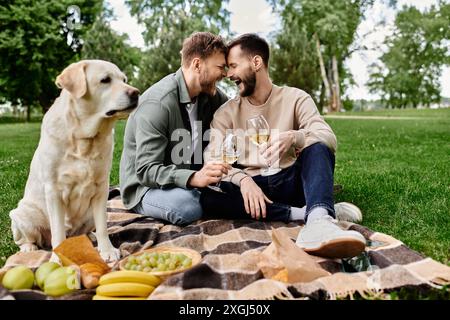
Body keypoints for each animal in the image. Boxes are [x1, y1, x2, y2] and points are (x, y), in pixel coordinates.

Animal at [9, 60, 139, 262]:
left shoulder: (102, 187)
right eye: (105, 80)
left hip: (89, 215)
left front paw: (107, 250)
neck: (84, 138)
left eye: (124, 80)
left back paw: (90, 236)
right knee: (28, 238)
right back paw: (29, 248)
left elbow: (103, 226)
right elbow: (58, 232)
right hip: (22, 214)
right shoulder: (54, 191)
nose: (136, 93)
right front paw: (57, 259)